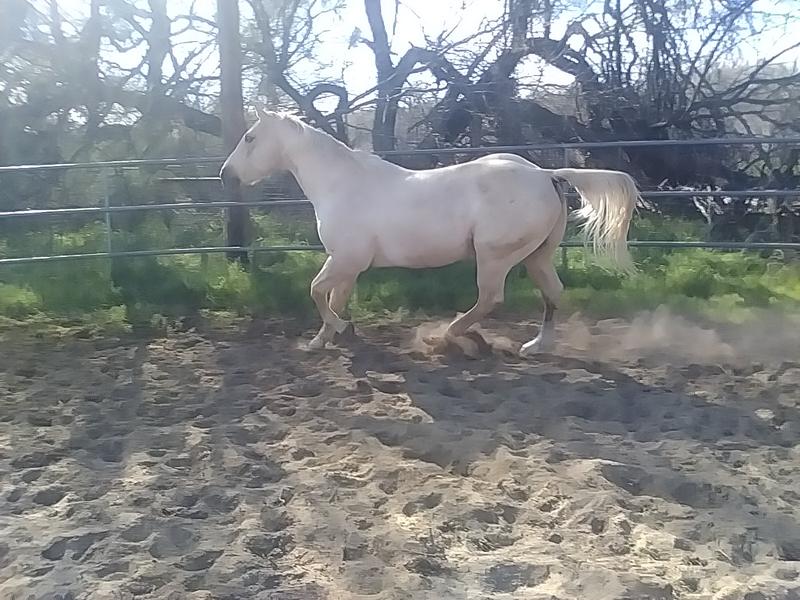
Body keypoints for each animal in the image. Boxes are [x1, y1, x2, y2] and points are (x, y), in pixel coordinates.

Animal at [220, 107, 641, 356]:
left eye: (250, 137)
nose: (226, 175)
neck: (341, 184)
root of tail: (545, 174)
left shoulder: (345, 259)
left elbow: (317, 292)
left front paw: (336, 330)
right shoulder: (348, 264)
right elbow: (334, 298)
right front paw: (322, 340)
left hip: (495, 256)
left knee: (491, 298)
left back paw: (450, 334)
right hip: (538, 255)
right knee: (552, 293)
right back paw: (535, 346)